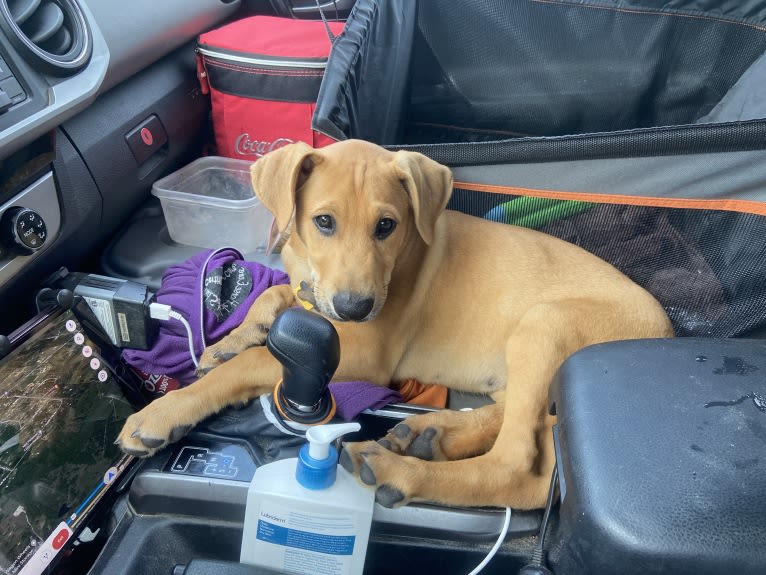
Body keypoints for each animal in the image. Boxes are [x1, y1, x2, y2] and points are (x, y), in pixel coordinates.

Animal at [117, 140, 676, 508]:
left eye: (386, 226)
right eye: (324, 222)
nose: (355, 308)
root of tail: (669, 334)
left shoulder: (363, 353)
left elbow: (254, 363)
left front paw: (164, 413)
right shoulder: (316, 297)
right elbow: (276, 295)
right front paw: (227, 343)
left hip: (546, 323)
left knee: (517, 464)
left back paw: (399, 467)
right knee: (517, 425)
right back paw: (431, 433)